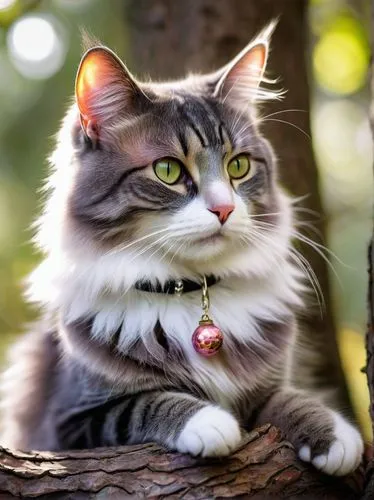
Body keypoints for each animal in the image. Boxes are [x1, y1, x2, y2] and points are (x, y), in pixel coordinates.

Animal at [0, 23, 362, 476]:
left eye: (238, 166)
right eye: (168, 171)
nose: (224, 208)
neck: (191, 292)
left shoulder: (269, 385)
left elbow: (290, 398)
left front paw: (335, 436)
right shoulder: (73, 420)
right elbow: (146, 403)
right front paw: (209, 422)